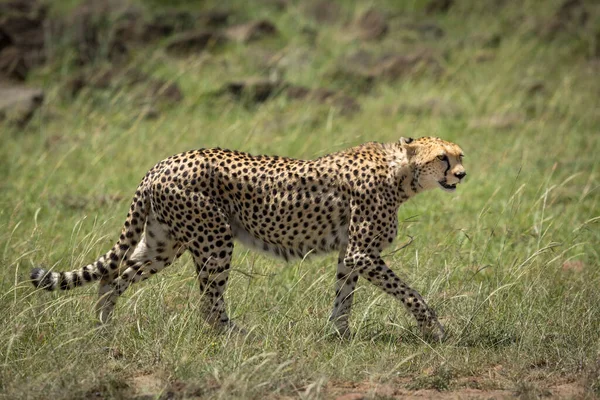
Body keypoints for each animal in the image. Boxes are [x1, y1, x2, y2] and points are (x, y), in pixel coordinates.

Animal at [30, 136, 466, 340]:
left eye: (460, 155)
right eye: (442, 158)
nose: (462, 175)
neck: (401, 172)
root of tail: (163, 163)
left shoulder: (350, 253)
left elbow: (344, 295)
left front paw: (338, 335)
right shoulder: (362, 252)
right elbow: (409, 292)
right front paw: (435, 330)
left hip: (162, 244)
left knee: (112, 276)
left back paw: (102, 324)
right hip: (214, 238)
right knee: (208, 303)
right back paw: (237, 336)